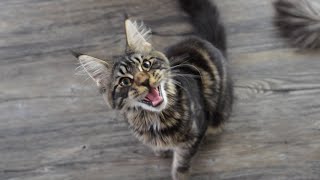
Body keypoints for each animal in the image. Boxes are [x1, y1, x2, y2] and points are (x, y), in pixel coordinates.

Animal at [72, 0, 232, 179]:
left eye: (146, 65)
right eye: (125, 81)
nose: (146, 81)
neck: (155, 120)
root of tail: (206, 41)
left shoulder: (193, 134)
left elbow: (181, 163)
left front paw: (180, 174)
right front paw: (161, 152)